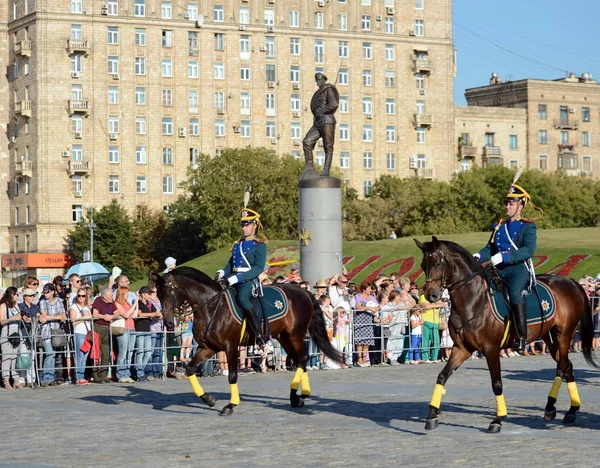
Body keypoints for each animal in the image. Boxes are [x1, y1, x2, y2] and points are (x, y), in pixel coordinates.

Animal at [150, 266, 342, 416]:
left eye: (168, 292)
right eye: (157, 294)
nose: (168, 323)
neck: (212, 307)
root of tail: (303, 291)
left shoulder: (231, 346)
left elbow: (232, 376)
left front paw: (230, 405)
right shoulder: (208, 348)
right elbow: (190, 368)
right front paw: (209, 399)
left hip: (295, 335)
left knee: (302, 359)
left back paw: (299, 395)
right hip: (285, 337)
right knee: (301, 360)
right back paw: (297, 397)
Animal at [414, 238, 596, 436]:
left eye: (438, 263)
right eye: (423, 265)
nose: (431, 295)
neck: (473, 299)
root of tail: (570, 282)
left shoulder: (491, 350)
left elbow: (497, 384)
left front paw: (498, 419)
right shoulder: (462, 349)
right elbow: (442, 376)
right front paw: (432, 415)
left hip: (564, 335)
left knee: (562, 367)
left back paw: (551, 407)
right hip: (551, 339)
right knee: (567, 366)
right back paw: (571, 410)